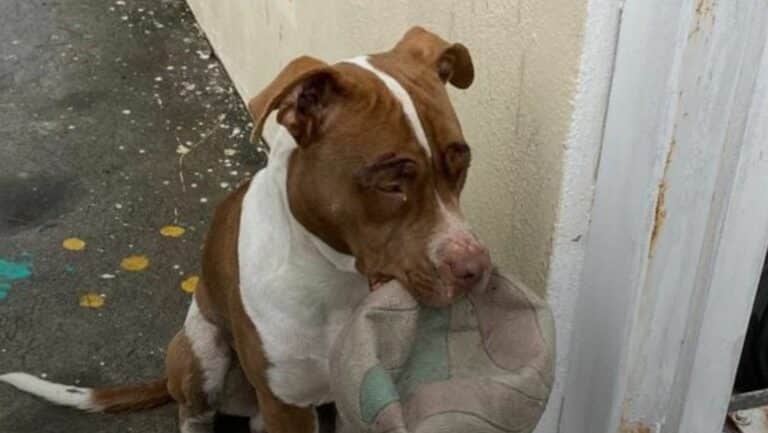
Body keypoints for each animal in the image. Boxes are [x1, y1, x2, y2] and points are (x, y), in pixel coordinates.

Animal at [0, 26, 491, 433]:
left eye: (462, 165)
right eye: (390, 184)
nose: (476, 268)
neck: (336, 277)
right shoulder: (286, 403)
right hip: (203, 346)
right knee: (193, 410)